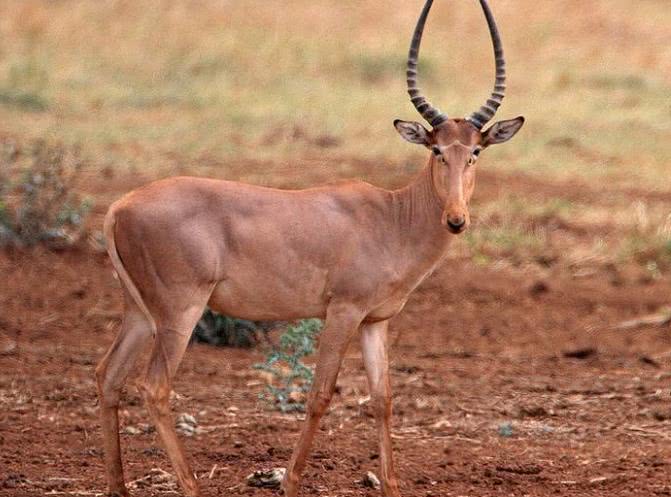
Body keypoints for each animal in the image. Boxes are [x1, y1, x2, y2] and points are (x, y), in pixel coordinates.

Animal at [94, 0, 524, 494]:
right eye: (437, 149)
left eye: (475, 150)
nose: (456, 219)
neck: (391, 216)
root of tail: (120, 206)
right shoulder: (342, 312)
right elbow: (320, 395)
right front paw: (289, 482)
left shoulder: (375, 322)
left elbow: (383, 398)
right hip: (179, 313)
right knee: (155, 387)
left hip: (138, 312)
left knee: (108, 376)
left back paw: (118, 486)